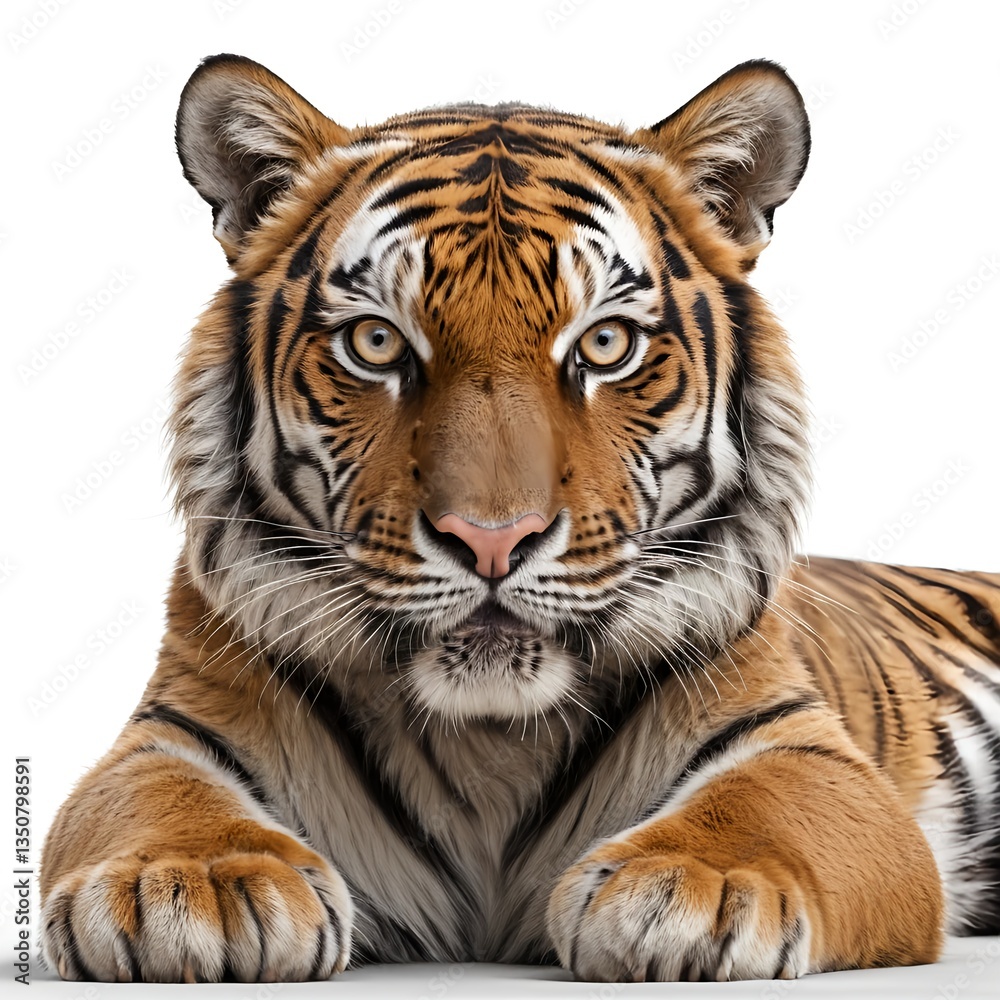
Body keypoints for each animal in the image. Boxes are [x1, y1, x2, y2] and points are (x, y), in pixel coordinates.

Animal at [39, 53, 1000, 984]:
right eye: (377, 343)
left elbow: (764, 807)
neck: (489, 737)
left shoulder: (807, 748)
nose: (491, 540)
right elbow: (155, 802)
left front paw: (691, 886)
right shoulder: (167, 734)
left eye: (605, 345)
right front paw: (194, 883)